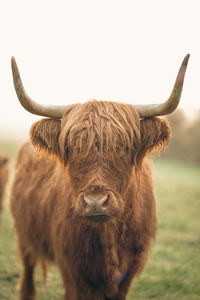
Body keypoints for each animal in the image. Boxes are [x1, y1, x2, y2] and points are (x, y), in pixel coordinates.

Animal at [10, 54, 189, 300]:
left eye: (125, 147)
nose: (95, 202)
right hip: (24, 234)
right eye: (70, 149)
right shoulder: (73, 271)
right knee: (28, 273)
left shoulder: (127, 274)